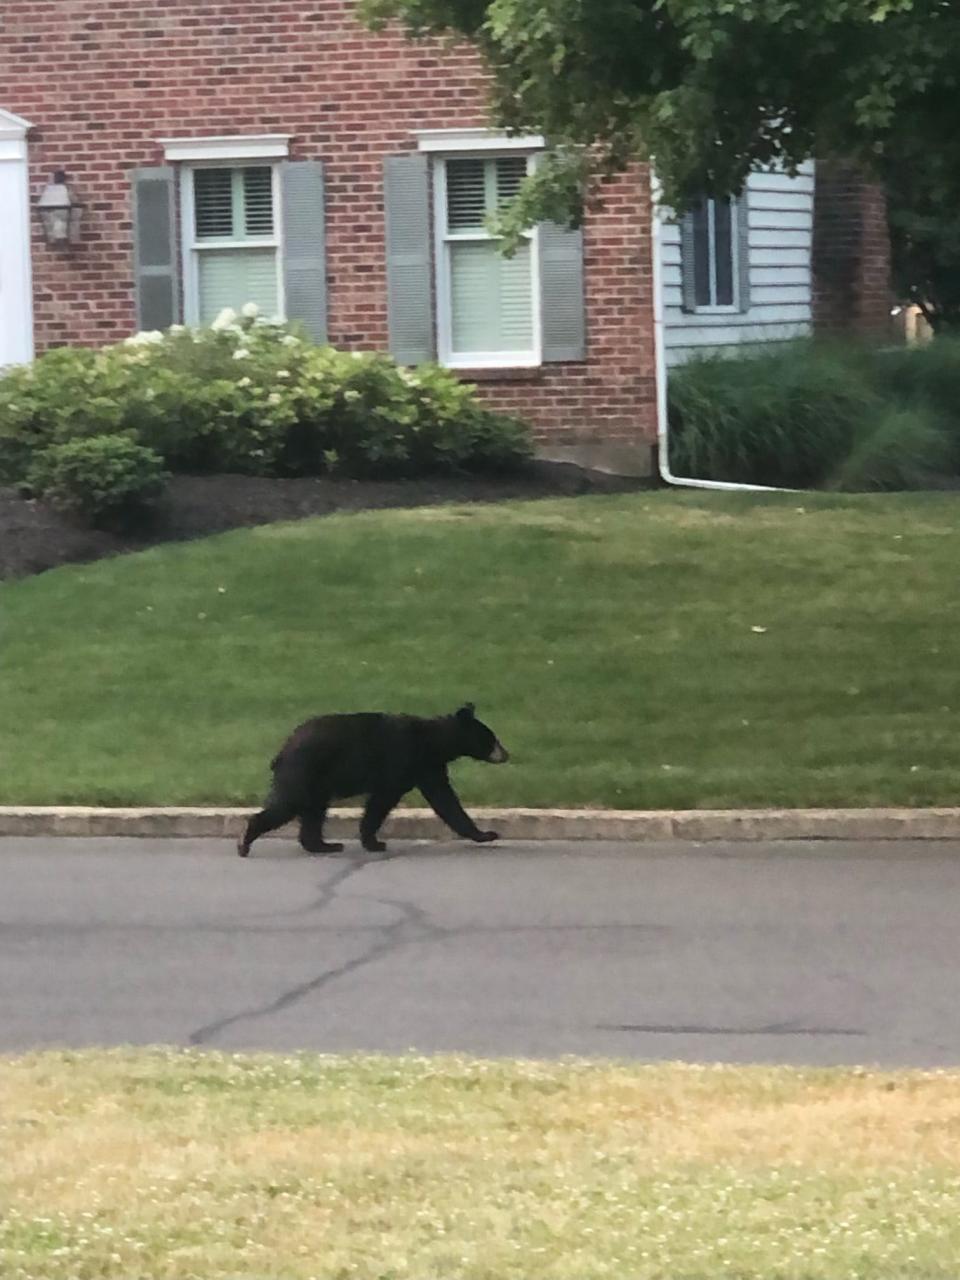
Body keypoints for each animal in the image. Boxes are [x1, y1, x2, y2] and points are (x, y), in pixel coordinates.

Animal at [239, 701, 512, 860]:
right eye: (492, 739)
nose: (506, 754)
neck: (434, 742)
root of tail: (283, 750)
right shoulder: (404, 761)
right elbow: (382, 801)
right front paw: (375, 842)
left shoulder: (428, 767)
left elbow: (445, 800)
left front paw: (485, 834)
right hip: (304, 772)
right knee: (287, 805)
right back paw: (246, 842)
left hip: (317, 783)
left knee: (314, 813)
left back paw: (326, 845)